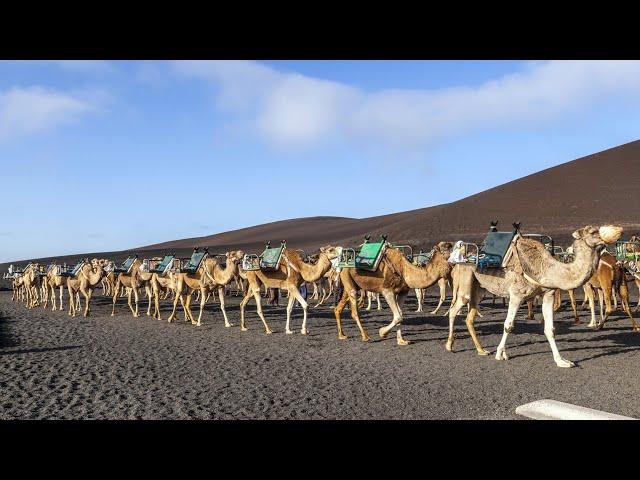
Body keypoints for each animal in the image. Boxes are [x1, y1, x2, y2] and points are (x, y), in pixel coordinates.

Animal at [448, 225, 624, 368]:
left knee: (469, 317)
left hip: (479, 289)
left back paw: (481, 350)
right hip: (465, 282)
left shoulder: (548, 294)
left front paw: (561, 361)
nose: (616, 234)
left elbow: (550, 329)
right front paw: (500, 354)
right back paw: (450, 346)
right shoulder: (516, 294)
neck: (545, 268)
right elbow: (508, 325)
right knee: (454, 309)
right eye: (593, 232)